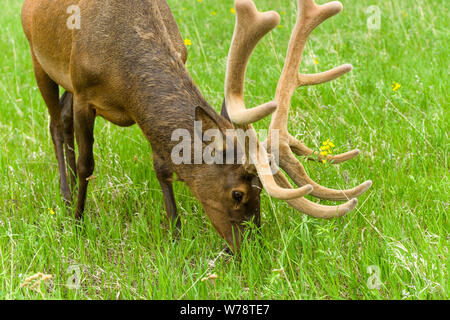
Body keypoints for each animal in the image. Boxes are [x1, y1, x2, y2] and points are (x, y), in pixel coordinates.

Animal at [21, 0, 370, 252]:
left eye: (260, 190)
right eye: (238, 194)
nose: (253, 247)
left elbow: (163, 166)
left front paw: (175, 234)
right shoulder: (83, 91)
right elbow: (86, 163)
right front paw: (78, 222)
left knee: (62, 115)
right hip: (38, 59)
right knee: (56, 123)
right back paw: (66, 196)